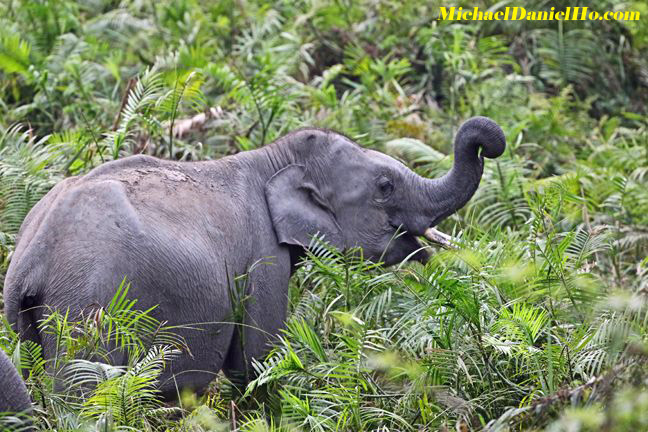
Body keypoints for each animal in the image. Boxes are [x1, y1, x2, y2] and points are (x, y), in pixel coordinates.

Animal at [3, 116, 506, 400]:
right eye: (385, 186)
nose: (488, 143)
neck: (270, 156)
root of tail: (29, 258)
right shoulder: (261, 257)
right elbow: (257, 363)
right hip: (88, 309)